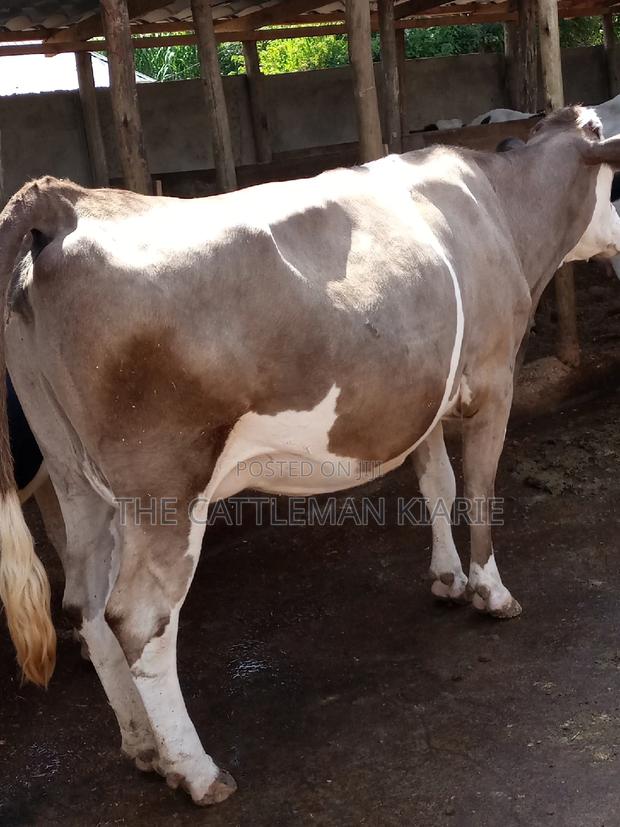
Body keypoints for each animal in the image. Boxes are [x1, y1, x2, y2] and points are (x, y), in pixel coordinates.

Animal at [0, 105, 619, 806]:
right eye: (617, 187)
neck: (499, 205)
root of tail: (68, 202)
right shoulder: (492, 380)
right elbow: (481, 489)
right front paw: (491, 592)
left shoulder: (423, 399)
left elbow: (437, 484)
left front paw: (447, 578)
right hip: (164, 490)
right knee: (138, 617)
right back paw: (196, 770)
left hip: (76, 480)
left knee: (86, 605)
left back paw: (143, 747)